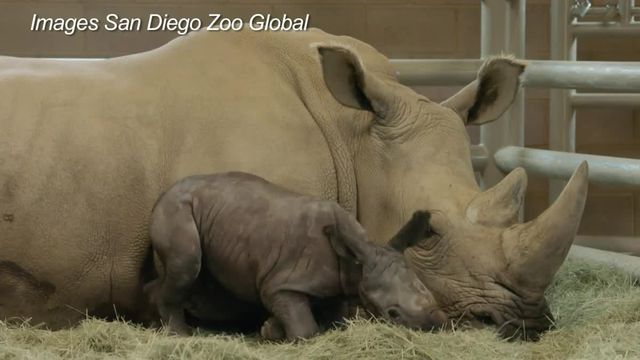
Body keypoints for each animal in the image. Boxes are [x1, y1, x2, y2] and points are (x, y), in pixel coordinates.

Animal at [145, 172, 444, 340]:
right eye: (392, 314)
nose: (438, 323)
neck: (358, 260)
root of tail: (164, 193)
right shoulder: (280, 285)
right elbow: (305, 328)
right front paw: (280, 332)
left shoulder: (335, 287)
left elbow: (334, 321)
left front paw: (269, 330)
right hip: (176, 208)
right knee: (187, 264)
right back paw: (181, 335)